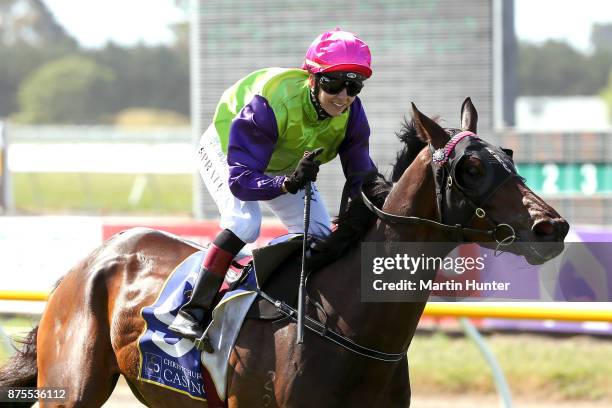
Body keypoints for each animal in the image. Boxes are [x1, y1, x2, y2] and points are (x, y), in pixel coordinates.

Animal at [0, 97, 568, 406]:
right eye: (470, 167)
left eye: (509, 155)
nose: (552, 226)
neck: (347, 323)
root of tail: (92, 260)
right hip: (72, 387)